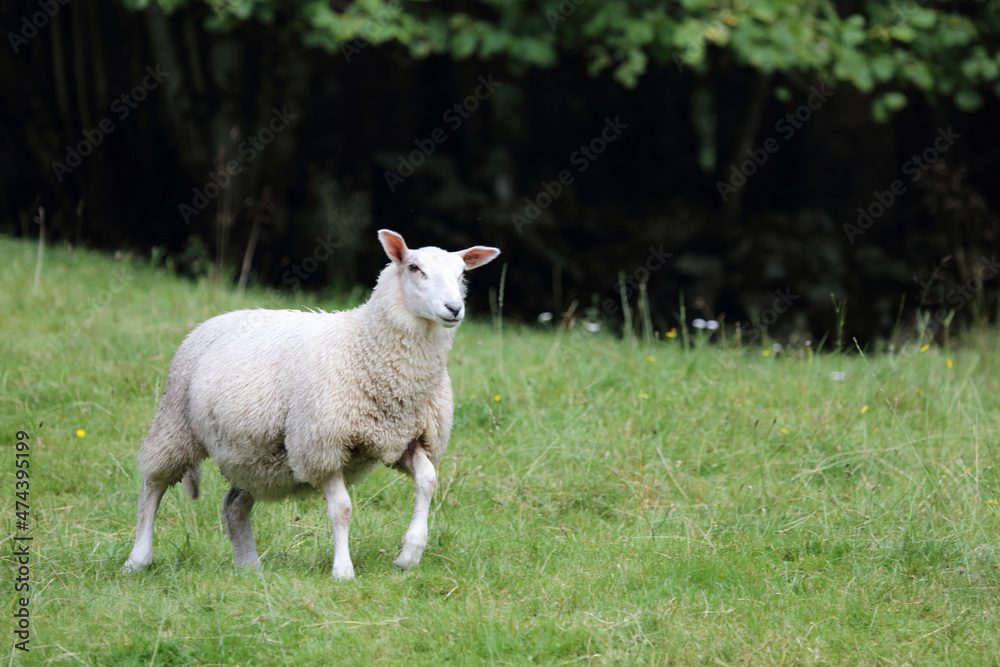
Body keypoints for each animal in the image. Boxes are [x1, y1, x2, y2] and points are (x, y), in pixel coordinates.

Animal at [123, 229, 500, 578]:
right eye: (414, 268)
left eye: (462, 275)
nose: (454, 309)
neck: (366, 346)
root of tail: (219, 318)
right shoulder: (322, 446)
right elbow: (342, 509)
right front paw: (343, 571)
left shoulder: (408, 439)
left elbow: (428, 482)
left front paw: (409, 555)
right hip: (175, 423)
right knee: (152, 486)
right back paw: (138, 559)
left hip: (257, 456)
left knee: (234, 506)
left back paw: (249, 568)